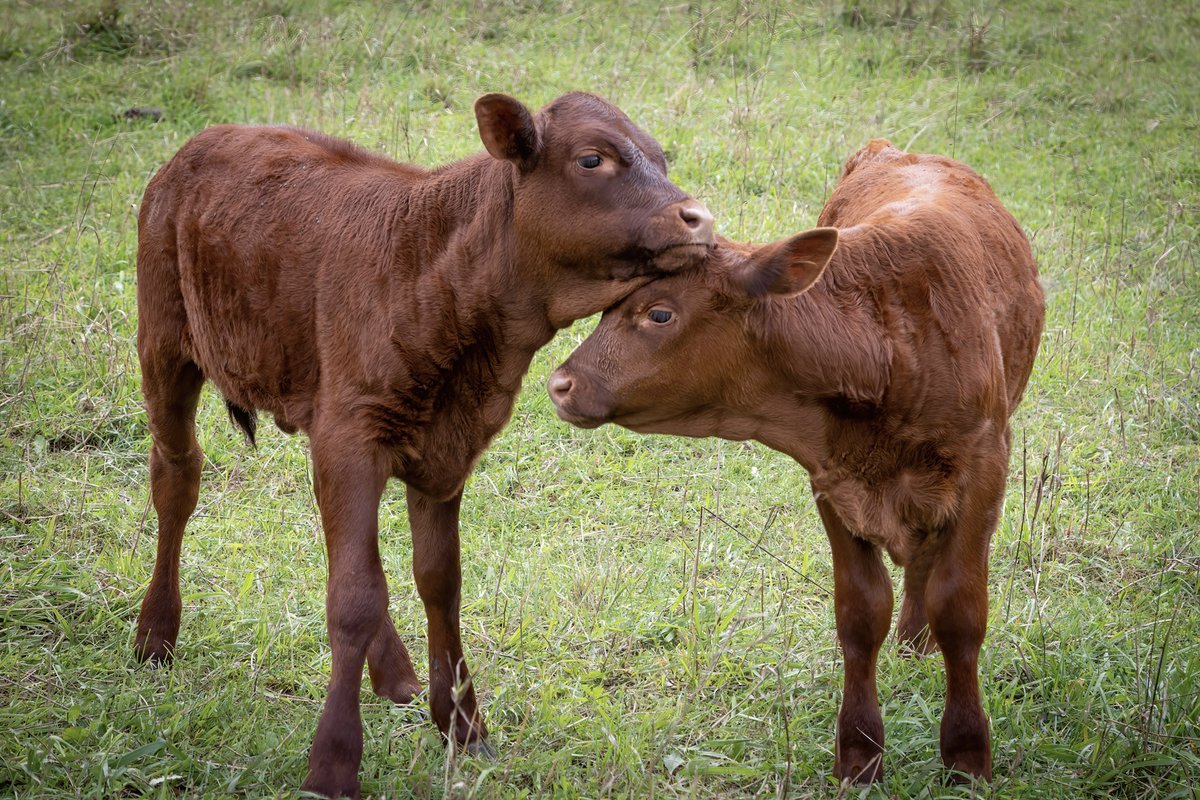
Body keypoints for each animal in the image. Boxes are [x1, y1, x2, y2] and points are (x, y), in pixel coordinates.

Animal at [133, 91, 714, 798]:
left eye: (661, 157)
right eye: (591, 159)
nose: (699, 217)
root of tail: (207, 138)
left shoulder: (440, 449)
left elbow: (437, 580)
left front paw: (462, 725)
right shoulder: (351, 434)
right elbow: (355, 597)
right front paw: (333, 763)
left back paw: (395, 674)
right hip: (164, 341)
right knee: (177, 475)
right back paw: (155, 636)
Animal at [548, 139, 1044, 783]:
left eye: (659, 314)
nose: (560, 384)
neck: (885, 346)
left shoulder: (985, 468)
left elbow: (960, 611)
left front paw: (966, 754)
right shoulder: (832, 480)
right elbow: (860, 613)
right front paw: (859, 752)